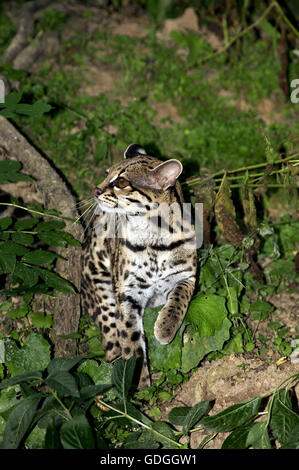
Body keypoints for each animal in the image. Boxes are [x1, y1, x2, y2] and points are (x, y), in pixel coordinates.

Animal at [82, 145, 198, 388]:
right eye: (106, 173)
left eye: (122, 182)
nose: (95, 190)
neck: (153, 236)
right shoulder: (128, 294)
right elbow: (131, 344)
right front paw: (141, 388)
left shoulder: (187, 276)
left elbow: (180, 298)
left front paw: (166, 327)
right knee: (110, 337)